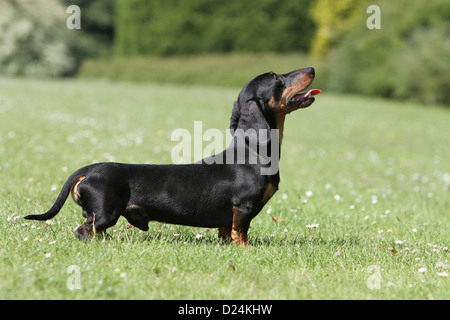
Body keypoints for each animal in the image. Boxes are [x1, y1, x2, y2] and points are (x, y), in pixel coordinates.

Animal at [24, 67, 320, 245]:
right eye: (277, 78)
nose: (311, 69)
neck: (252, 152)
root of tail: (89, 169)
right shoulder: (243, 207)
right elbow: (241, 232)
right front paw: (245, 249)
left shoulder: (228, 217)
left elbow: (226, 232)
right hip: (106, 213)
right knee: (85, 230)